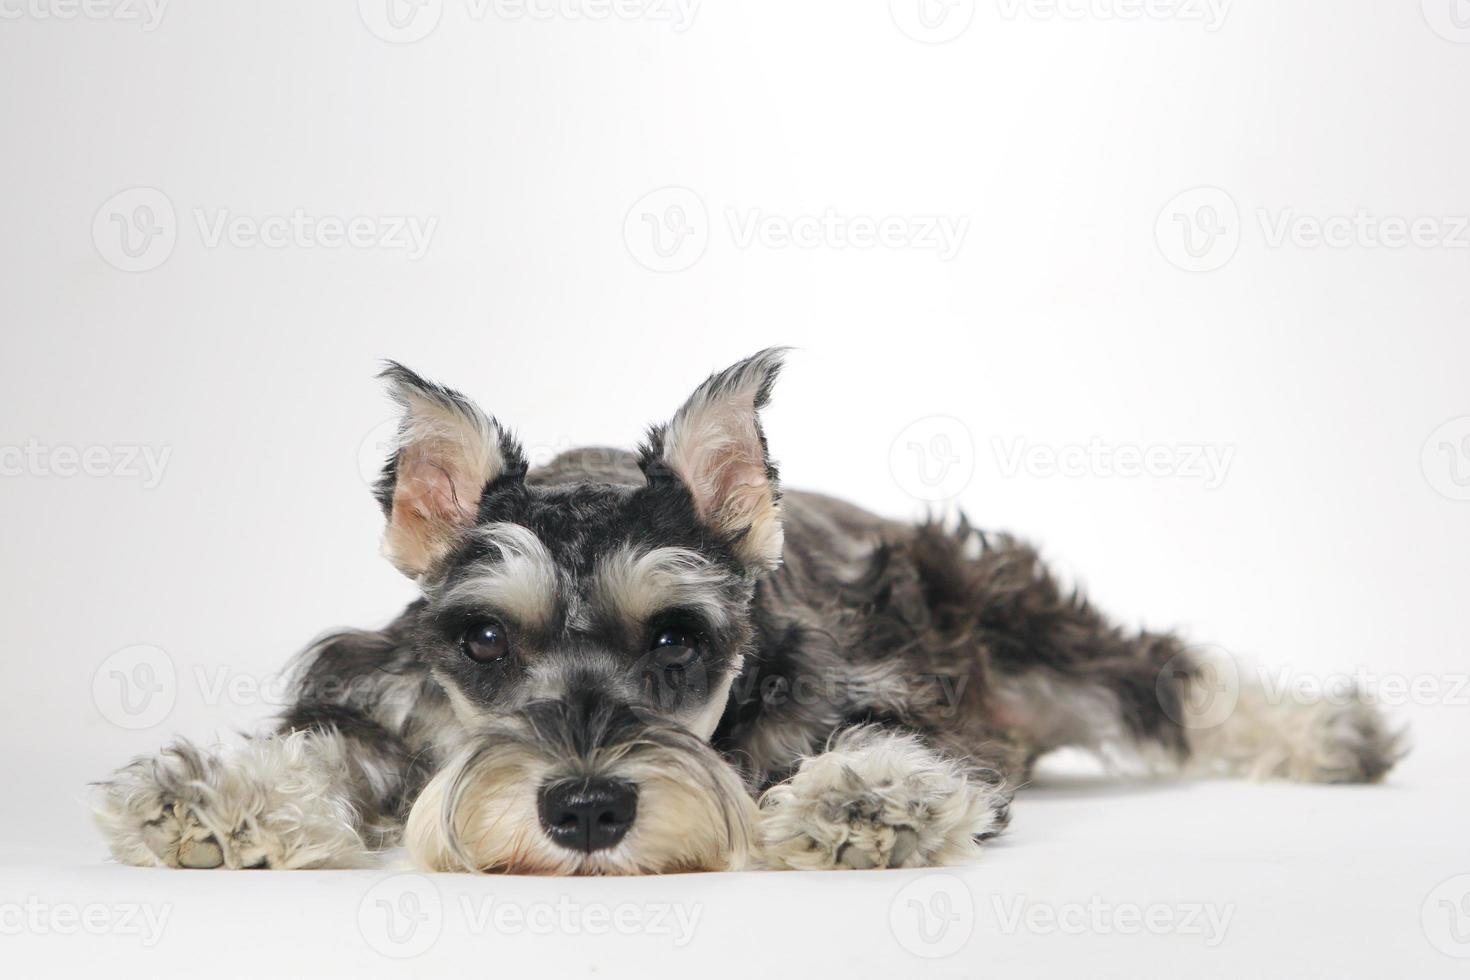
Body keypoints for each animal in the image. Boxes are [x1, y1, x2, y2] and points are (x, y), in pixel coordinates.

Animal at [91, 351, 1399, 875]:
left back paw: (1336, 733)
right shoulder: (392, 695)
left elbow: (890, 744)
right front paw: (217, 798)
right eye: (483, 636)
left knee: (1170, 674)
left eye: (677, 637)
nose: (585, 810)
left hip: (1025, 628)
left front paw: (863, 798)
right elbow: (333, 747)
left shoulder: (881, 686)